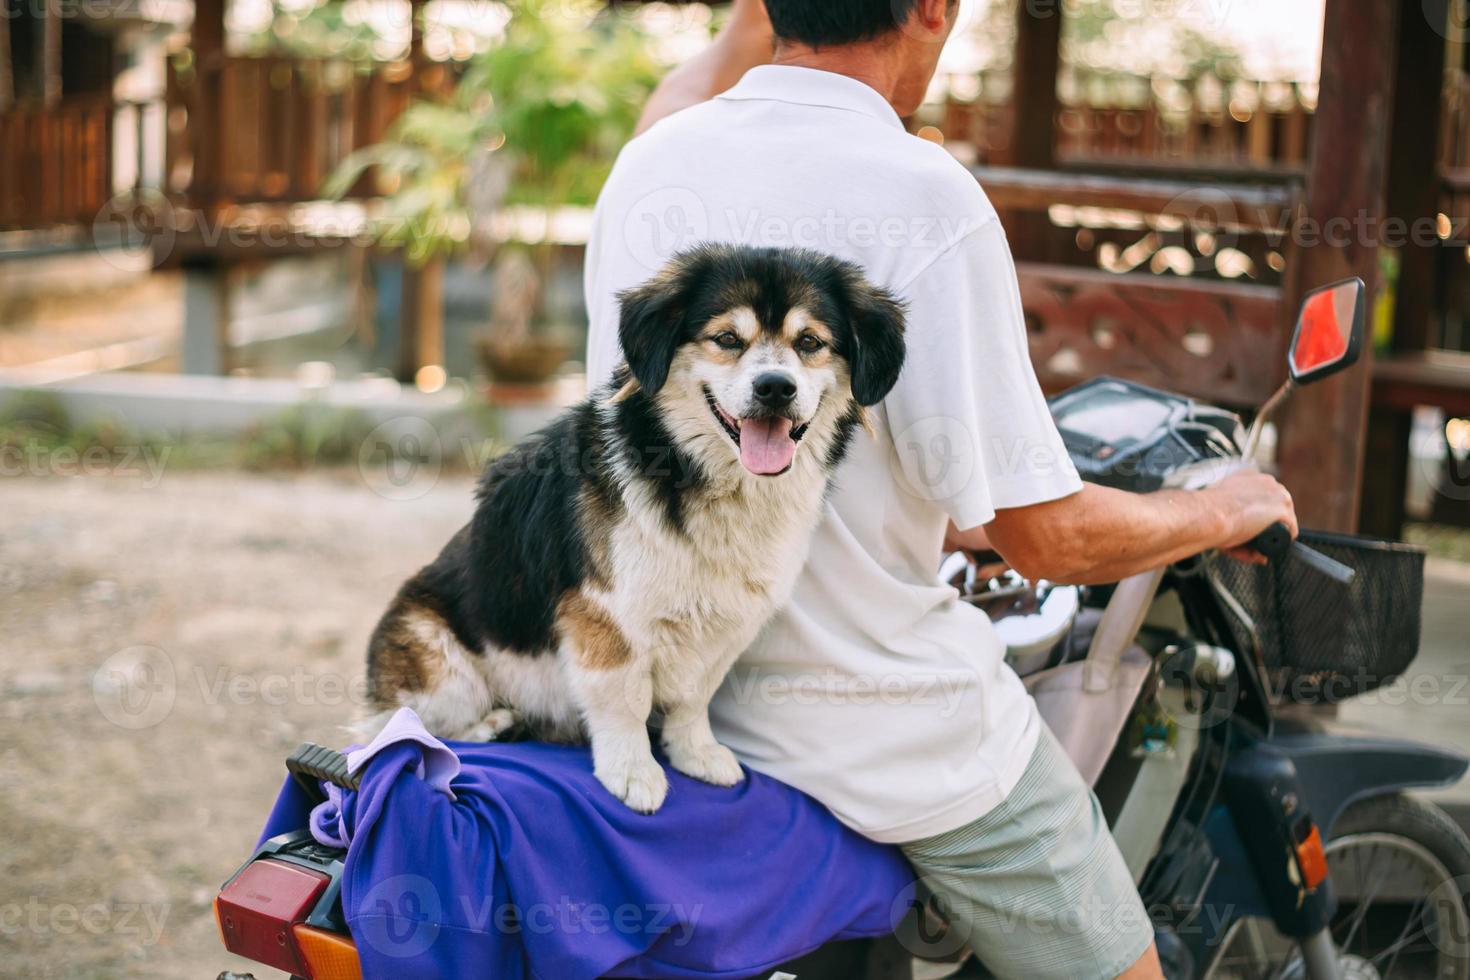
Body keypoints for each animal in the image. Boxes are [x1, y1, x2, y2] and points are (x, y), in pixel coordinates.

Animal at [361, 245, 899, 811]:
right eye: (728, 339)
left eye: (810, 342)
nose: (775, 387)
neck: (700, 477)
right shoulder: (605, 619)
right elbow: (625, 703)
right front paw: (632, 771)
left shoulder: (727, 624)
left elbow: (693, 697)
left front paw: (695, 753)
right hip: (440, 665)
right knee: (400, 728)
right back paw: (491, 725)